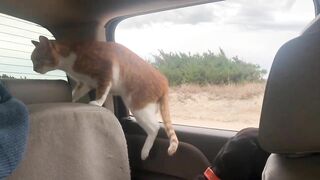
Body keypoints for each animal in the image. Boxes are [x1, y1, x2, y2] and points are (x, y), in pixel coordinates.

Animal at [31, 35, 179, 160]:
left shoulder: (105, 73)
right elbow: (75, 93)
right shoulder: (85, 83)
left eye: (37, 58)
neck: (69, 59)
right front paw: (71, 100)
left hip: (138, 107)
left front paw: (97, 103)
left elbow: (102, 92)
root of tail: (164, 82)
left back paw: (145, 152)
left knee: (155, 127)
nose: (33, 69)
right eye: (32, 60)